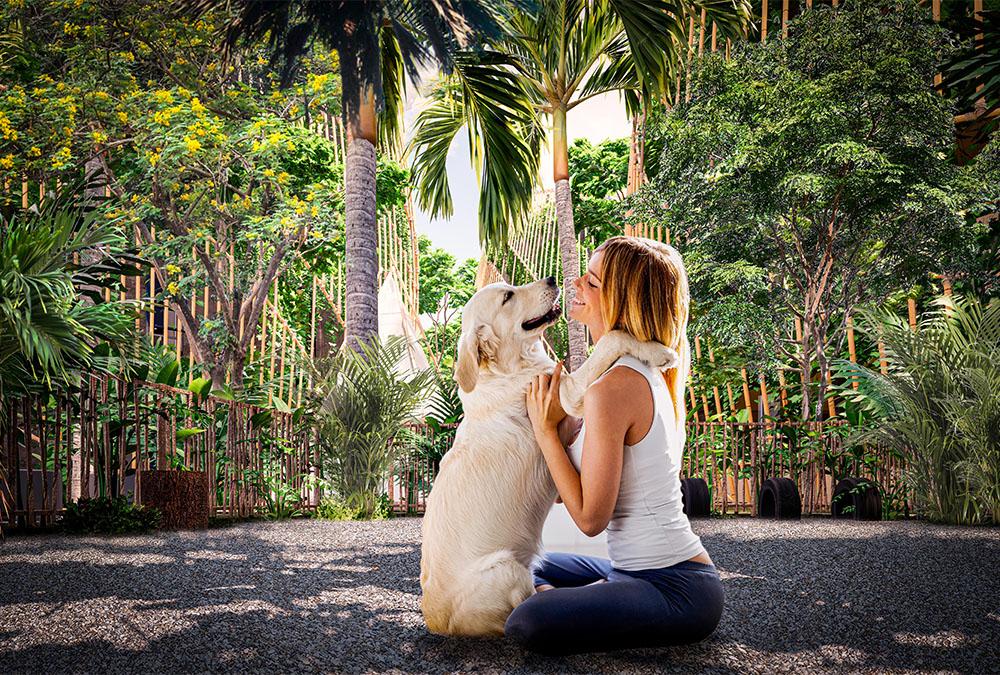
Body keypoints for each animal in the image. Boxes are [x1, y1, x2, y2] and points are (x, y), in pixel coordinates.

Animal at [418, 278, 676, 636]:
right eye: (508, 297)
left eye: (509, 286)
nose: (553, 281)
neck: (509, 366)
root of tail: (435, 621)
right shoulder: (567, 395)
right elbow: (611, 338)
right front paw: (658, 351)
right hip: (507, 568)